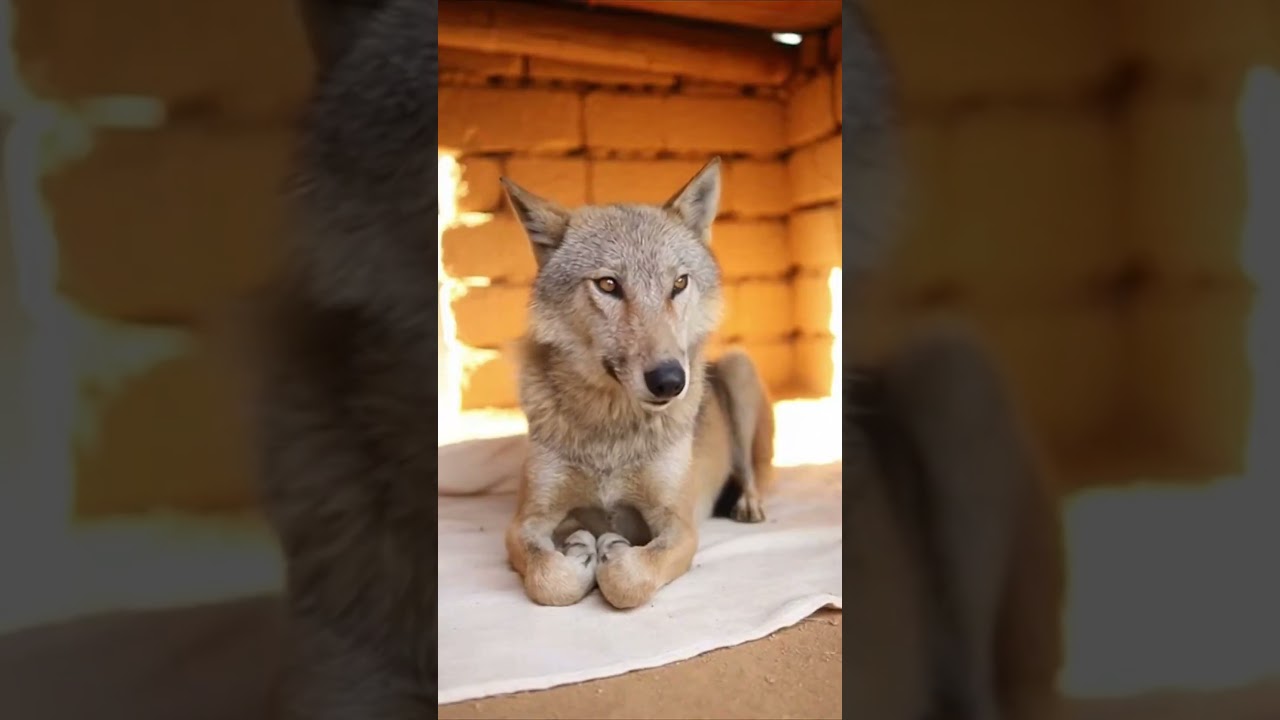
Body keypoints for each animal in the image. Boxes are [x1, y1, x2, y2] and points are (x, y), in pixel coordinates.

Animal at [499, 158, 776, 609]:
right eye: (608, 284)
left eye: (679, 283)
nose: (670, 381)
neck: (612, 435)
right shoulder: (527, 518)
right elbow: (547, 577)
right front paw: (578, 553)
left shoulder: (679, 524)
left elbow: (633, 578)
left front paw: (612, 551)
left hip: (739, 368)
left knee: (752, 473)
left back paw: (747, 505)